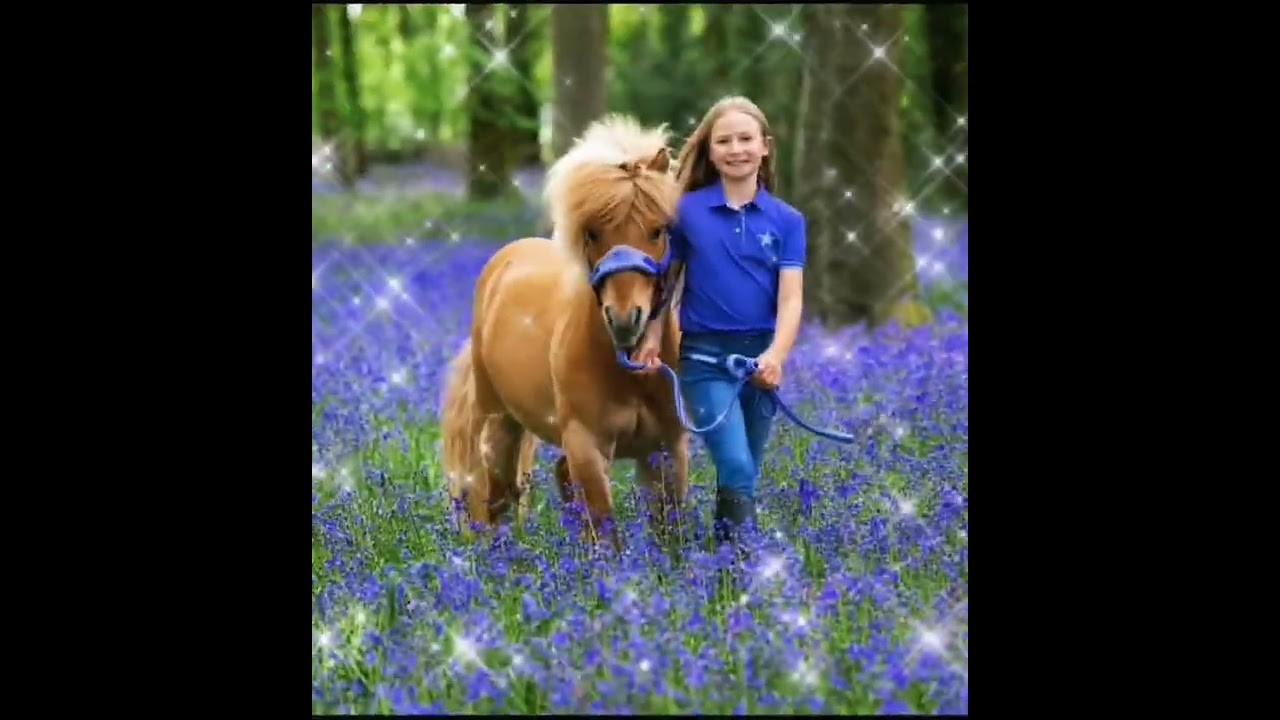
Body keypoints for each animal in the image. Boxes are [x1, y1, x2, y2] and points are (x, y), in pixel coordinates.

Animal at [439, 114, 689, 550]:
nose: (625, 320)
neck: (628, 372)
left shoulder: (668, 447)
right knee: (496, 498)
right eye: (592, 232)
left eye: (658, 230)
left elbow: (670, 534)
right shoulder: (586, 447)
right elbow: (608, 535)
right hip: (498, 422)